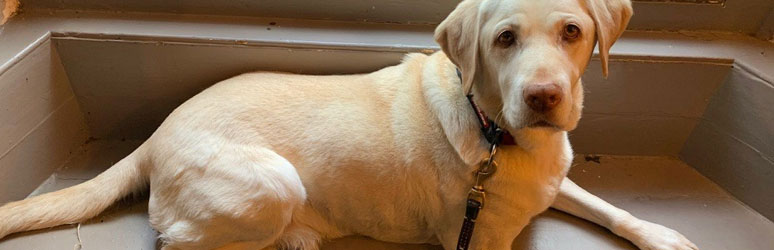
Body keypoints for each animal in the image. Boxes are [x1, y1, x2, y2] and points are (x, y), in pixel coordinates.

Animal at [1, 0, 704, 250]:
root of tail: (156, 136)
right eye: (505, 38)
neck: (497, 132)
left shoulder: (556, 174)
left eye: (572, 32)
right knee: (179, 243)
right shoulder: (476, 242)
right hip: (273, 182)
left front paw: (663, 236)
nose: (544, 97)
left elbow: (610, 207)